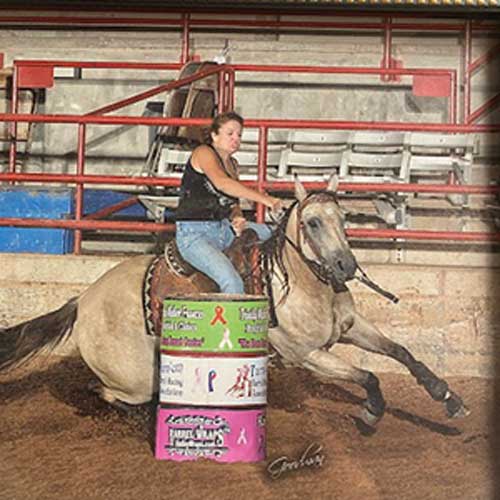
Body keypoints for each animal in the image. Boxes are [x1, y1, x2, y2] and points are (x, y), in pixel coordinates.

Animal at [0, 177, 468, 426]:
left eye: (344, 218)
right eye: (312, 222)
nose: (345, 265)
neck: (301, 283)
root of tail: (83, 301)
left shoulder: (350, 330)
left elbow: (402, 353)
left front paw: (447, 397)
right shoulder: (307, 354)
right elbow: (368, 376)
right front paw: (371, 413)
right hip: (132, 379)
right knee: (103, 392)